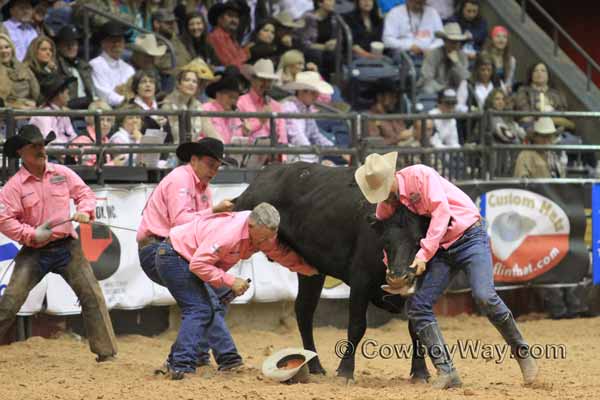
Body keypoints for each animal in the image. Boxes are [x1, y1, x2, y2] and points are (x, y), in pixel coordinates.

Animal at [232, 162, 428, 382]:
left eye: (418, 240)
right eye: (385, 240)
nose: (398, 278)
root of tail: (263, 176)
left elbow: (416, 326)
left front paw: (420, 372)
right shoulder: (361, 281)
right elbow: (357, 325)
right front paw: (345, 371)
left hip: (312, 273)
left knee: (304, 310)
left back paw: (315, 365)